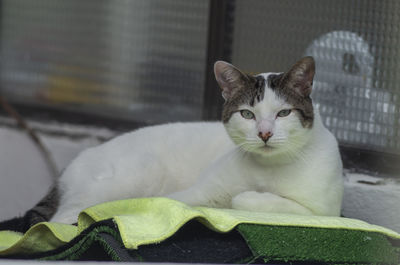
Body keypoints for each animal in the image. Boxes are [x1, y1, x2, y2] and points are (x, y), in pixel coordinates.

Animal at [0, 56, 344, 231]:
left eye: (283, 113)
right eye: (247, 114)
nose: (264, 134)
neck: (268, 169)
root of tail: (75, 161)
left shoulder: (324, 212)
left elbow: (264, 202)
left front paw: (247, 198)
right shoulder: (192, 195)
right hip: (132, 176)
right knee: (64, 220)